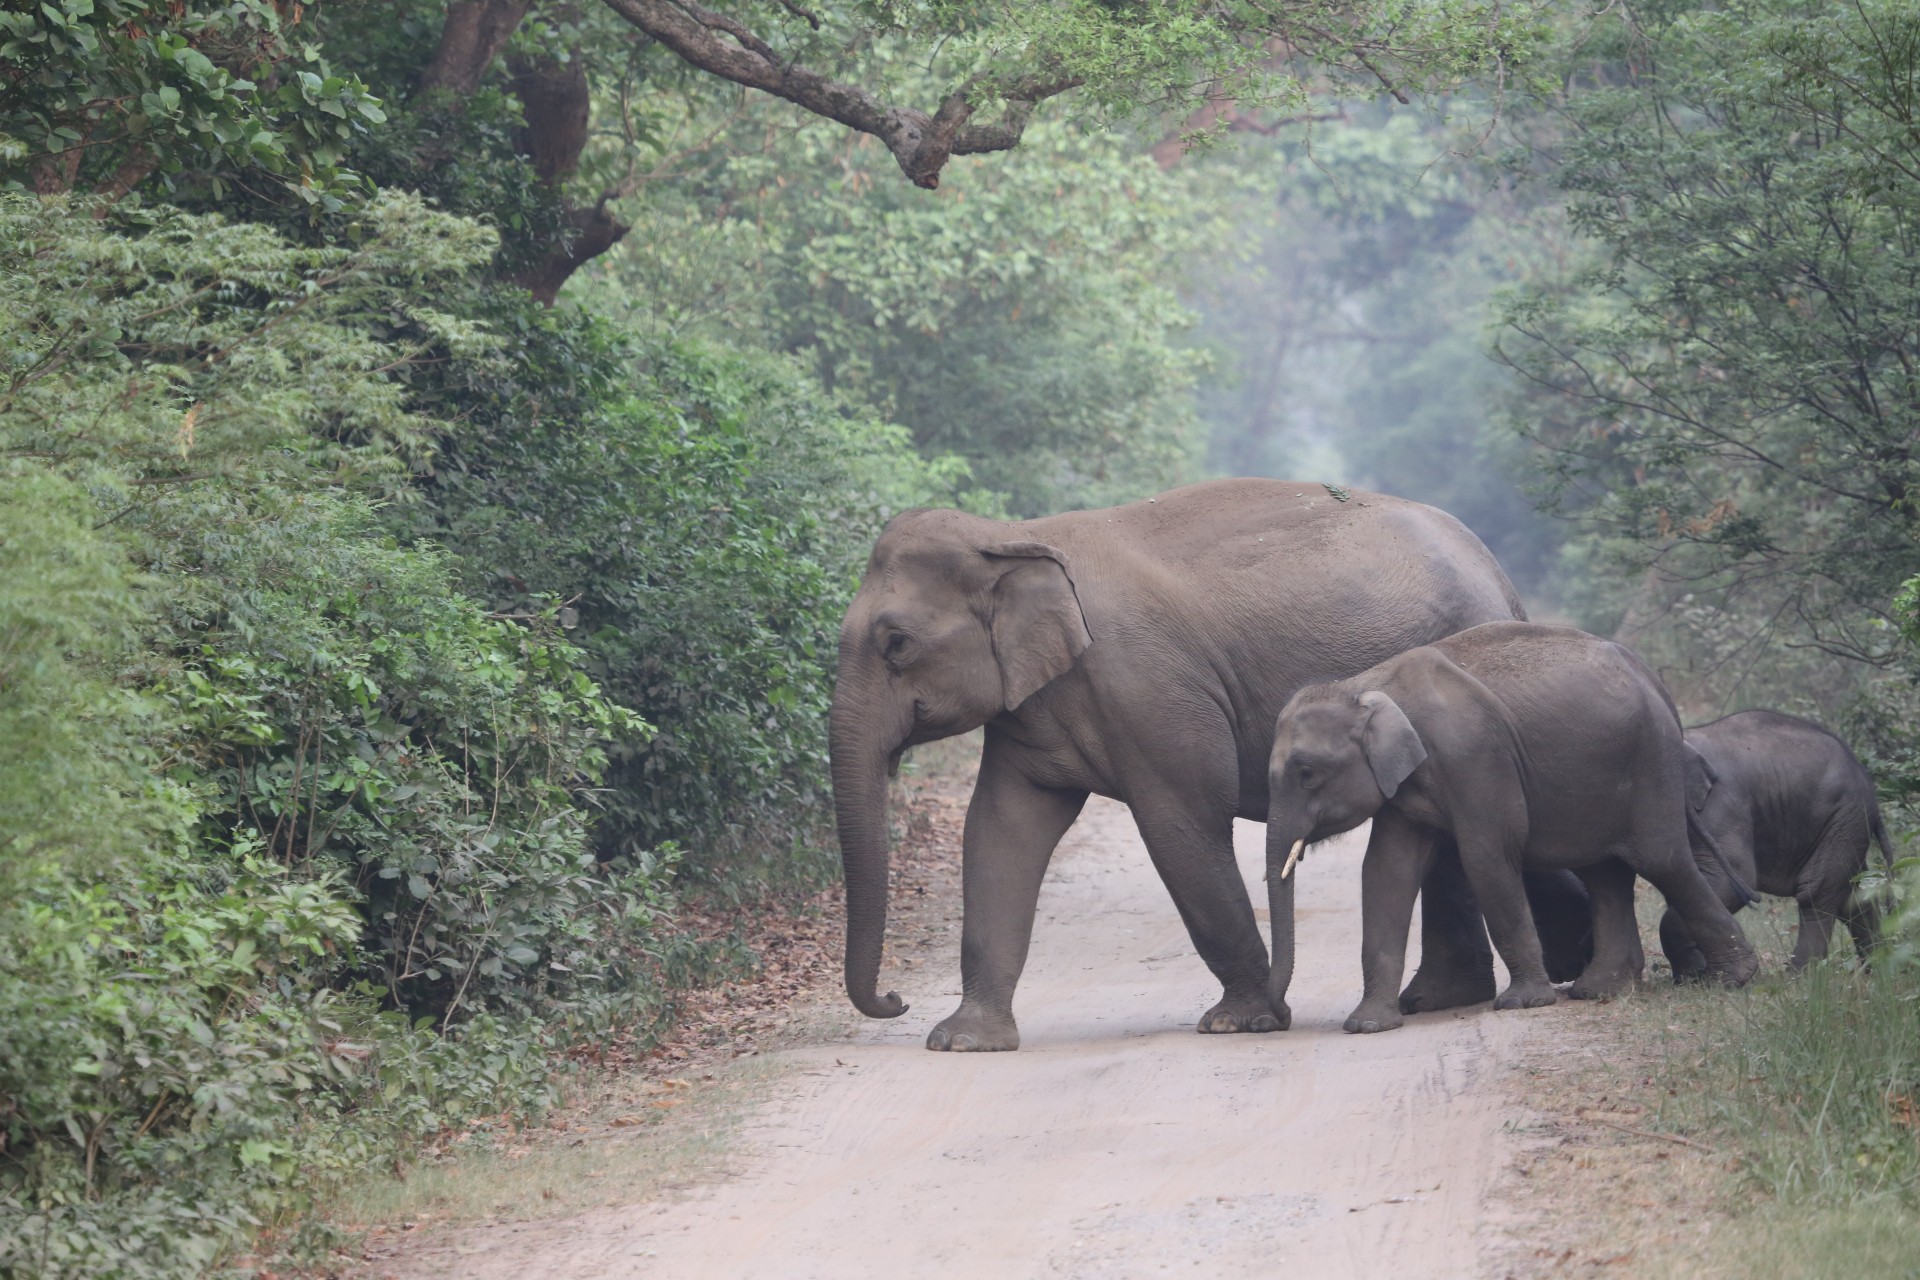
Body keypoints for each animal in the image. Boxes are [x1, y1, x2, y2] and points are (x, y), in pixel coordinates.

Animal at [825, 479, 1589, 1051]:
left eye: (895, 642)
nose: (893, 998)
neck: (1014, 534)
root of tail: (1499, 577)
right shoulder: (1032, 704)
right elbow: (998, 831)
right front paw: (963, 1040)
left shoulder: (1153, 691)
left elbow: (1183, 825)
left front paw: (1240, 1022)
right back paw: (1441, 997)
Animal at [1267, 614, 1758, 1036]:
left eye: (1306, 773)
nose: (1283, 1016)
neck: (1366, 685)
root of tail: (1655, 682)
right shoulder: (1403, 782)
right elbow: (1387, 871)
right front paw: (1368, 1025)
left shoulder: (1475, 755)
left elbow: (1486, 856)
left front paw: (1523, 1003)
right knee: (1605, 872)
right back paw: (1602, 989)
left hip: (1650, 762)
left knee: (1662, 860)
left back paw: (1733, 978)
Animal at [1658, 710, 1896, 982]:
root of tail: (1872, 794)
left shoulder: (1721, 805)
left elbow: (1734, 880)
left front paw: (1692, 976)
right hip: (1847, 825)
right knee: (1855, 895)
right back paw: (1880, 970)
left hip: (1845, 818)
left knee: (1816, 891)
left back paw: (1798, 977)